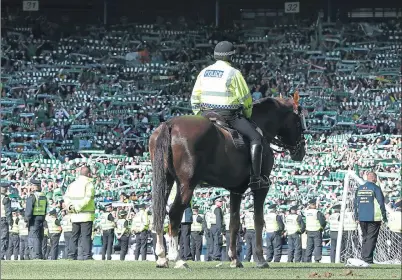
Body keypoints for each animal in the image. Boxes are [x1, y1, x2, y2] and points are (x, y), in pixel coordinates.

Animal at [149, 97, 306, 270]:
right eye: (299, 122)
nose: (301, 152)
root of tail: (170, 124)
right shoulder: (261, 188)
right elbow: (258, 220)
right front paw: (260, 258)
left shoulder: (236, 189)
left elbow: (234, 222)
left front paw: (234, 259)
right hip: (187, 185)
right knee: (174, 214)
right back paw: (177, 258)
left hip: (165, 181)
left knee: (159, 213)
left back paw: (161, 257)